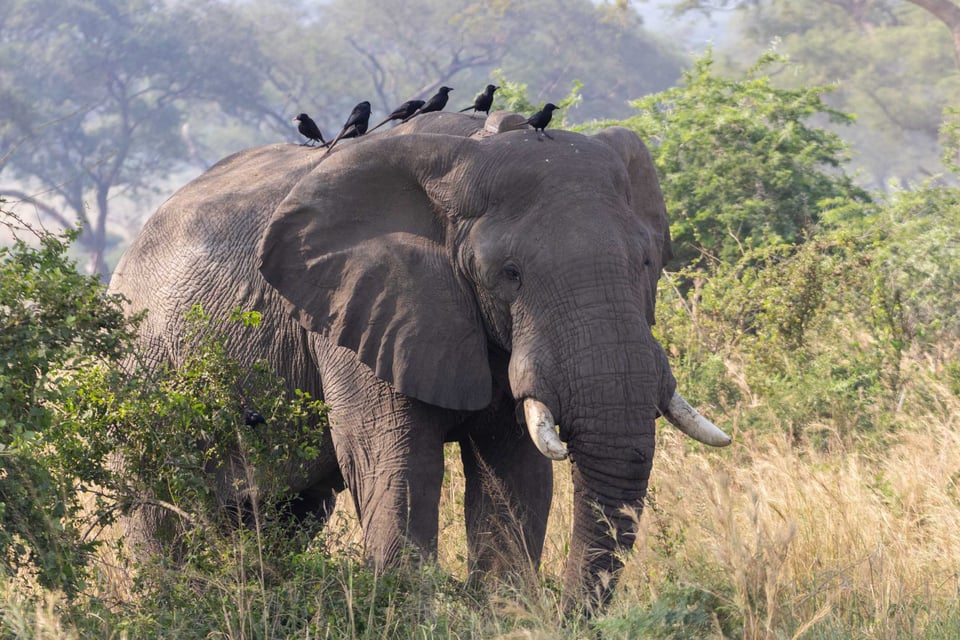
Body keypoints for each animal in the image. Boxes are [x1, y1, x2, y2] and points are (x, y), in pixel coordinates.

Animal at [108, 109, 730, 610]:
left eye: (647, 262)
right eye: (509, 274)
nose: (568, 617)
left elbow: (514, 471)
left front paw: (506, 616)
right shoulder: (352, 310)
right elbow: (397, 462)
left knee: (285, 514)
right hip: (140, 382)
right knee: (158, 517)